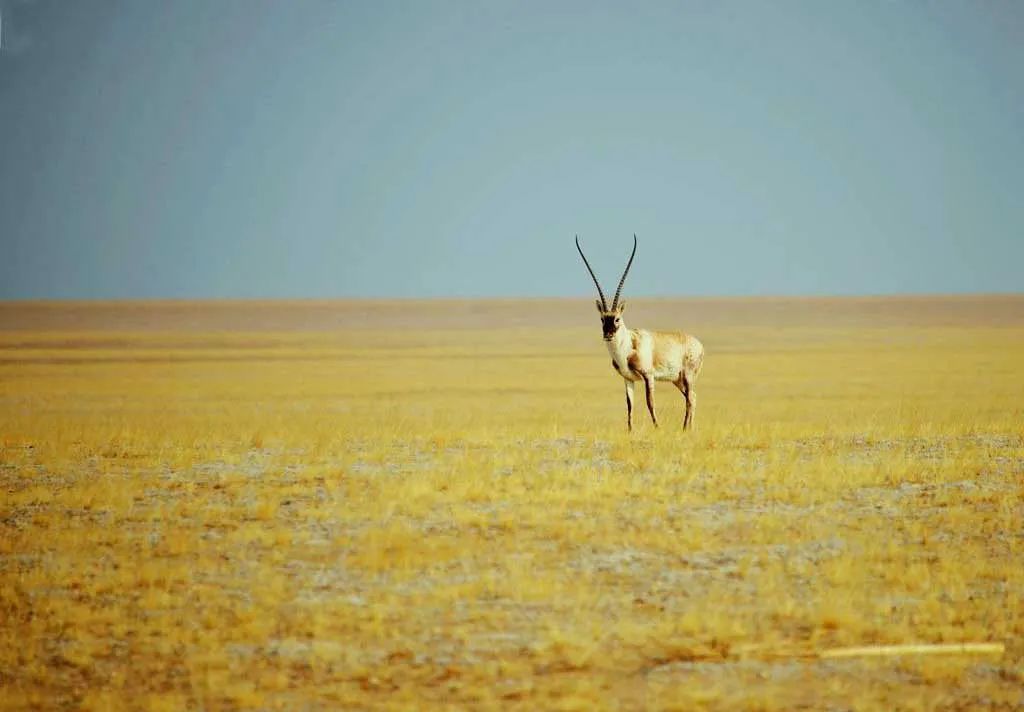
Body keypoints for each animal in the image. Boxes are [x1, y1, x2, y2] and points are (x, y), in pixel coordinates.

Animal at [577, 236, 704, 432]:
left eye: (617, 319)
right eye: (602, 319)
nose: (608, 335)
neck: (628, 345)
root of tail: (699, 344)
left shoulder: (648, 376)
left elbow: (650, 403)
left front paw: (657, 428)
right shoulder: (628, 379)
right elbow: (630, 405)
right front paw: (630, 431)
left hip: (688, 376)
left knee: (690, 399)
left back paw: (685, 428)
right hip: (677, 379)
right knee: (693, 397)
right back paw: (689, 429)